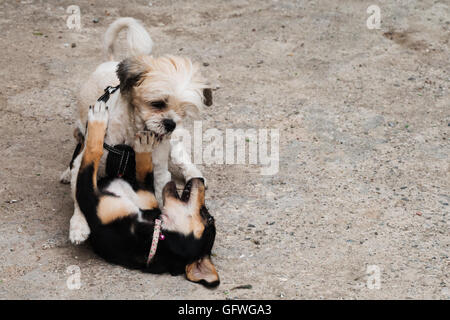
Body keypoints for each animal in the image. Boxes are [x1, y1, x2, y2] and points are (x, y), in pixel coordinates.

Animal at [60, 17, 213, 244]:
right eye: (157, 103)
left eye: (183, 111)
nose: (171, 123)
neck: (133, 137)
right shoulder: (84, 160)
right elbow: (80, 193)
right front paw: (79, 224)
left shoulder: (159, 171)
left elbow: (160, 193)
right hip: (79, 129)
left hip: (176, 141)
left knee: (180, 155)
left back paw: (192, 172)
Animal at [74, 99, 220, 286]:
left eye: (208, 218)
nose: (200, 180)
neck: (156, 233)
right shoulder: (144, 192)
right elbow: (146, 169)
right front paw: (145, 146)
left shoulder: (90, 199)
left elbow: (93, 151)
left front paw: (98, 119)